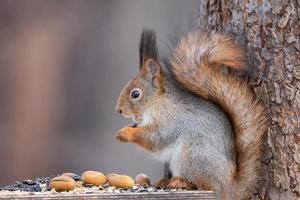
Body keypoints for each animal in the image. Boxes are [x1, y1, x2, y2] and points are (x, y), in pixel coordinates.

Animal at [114, 27, 268, 200]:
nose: (118, 110)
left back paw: (181, 182)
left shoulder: (173, 122)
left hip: (193, 155)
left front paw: (125, 133)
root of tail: (229, 188)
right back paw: (165, 181)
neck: (159, 105)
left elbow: (155, 138)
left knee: (203, 184)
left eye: (135, 94)